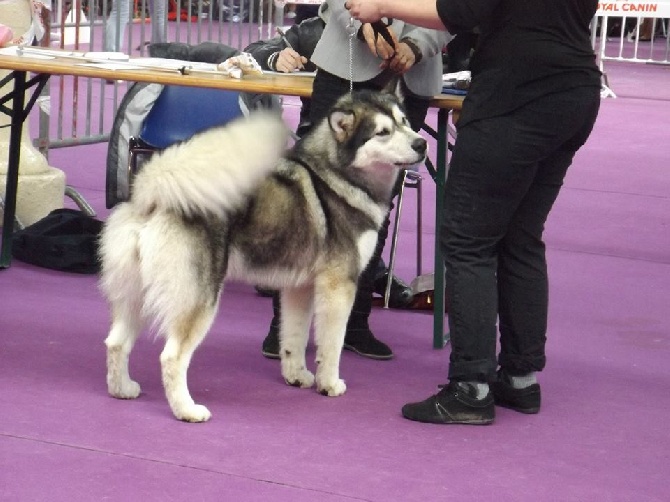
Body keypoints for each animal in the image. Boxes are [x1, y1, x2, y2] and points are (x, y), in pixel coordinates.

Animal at [100, 89, 428, 420]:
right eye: (382, 132)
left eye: (405, 122)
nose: (422, 144)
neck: (337, 176)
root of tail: (150, 194)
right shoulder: (339, 285)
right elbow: (331, 344)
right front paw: (329, 384)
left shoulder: (299, 288)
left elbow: (294, 337)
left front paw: (296, 375)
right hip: (197, 297)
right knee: (171, 356)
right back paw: (187, 410)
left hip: (136, 294)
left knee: (116, 342)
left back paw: (122, 389)